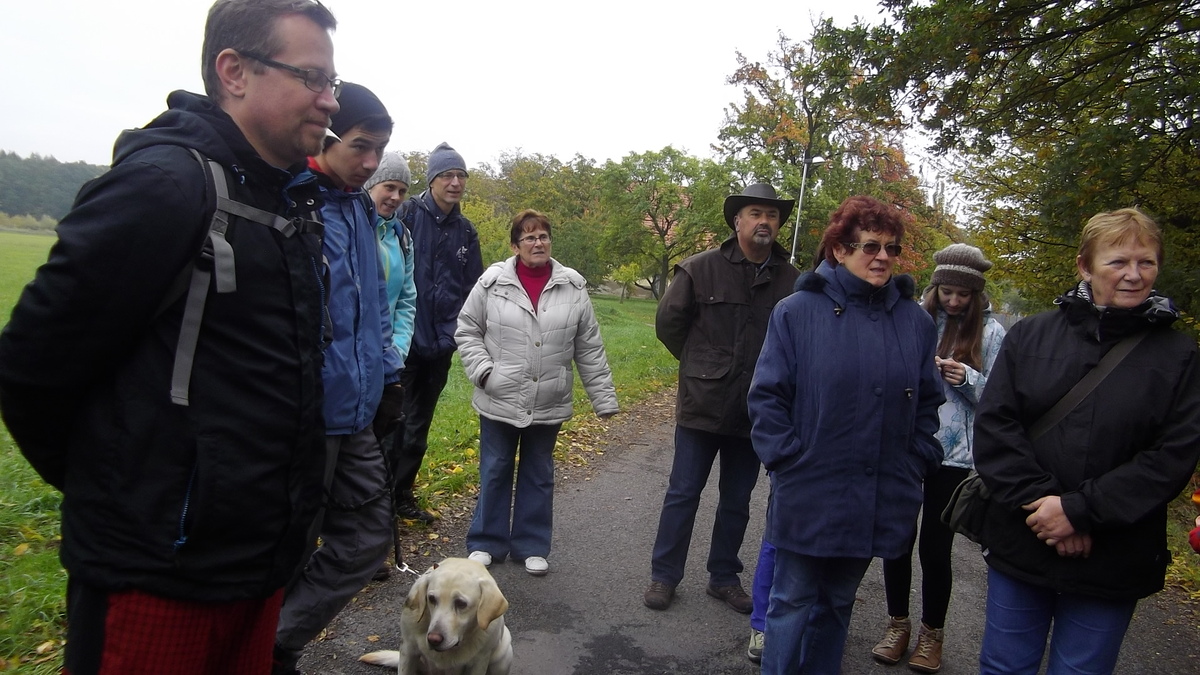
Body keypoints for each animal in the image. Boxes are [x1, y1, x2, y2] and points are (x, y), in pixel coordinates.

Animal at [360, 557, 513, 675]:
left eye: (461, 603)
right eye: (431, 599)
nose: (433, 639)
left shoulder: (479, 662)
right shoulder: (408, 651)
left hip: (503, 654)